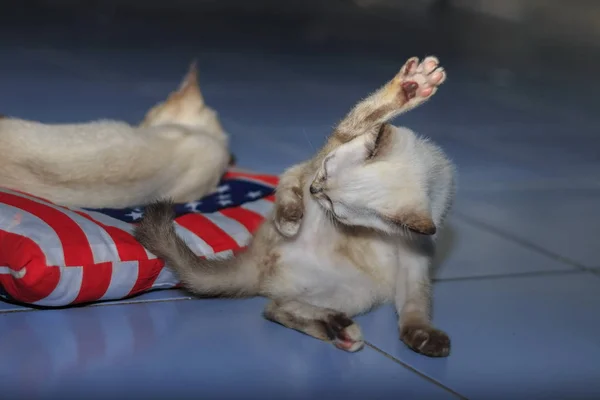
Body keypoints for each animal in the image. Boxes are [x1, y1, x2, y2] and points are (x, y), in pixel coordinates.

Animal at [135, 55, 454, 356]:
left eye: (339, 212)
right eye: (324, 174)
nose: (314, 191)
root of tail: (257, 259)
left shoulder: (415, 260)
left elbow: (415, 305)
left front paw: (423, 336)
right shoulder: (317, 161)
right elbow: (361, 119)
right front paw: (414, 85)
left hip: (355, 293)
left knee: (277, 306)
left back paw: (339, 330)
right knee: (274, 305)